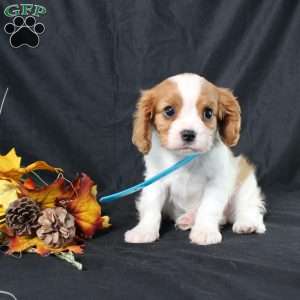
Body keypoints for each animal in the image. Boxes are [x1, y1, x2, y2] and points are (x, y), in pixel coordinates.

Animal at [125, 74, 266, 245]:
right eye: (169, 111)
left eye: (208, 113)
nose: (188, 134)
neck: (184, 158)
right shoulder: (155, 180)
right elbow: (151, 206)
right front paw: (144, 230)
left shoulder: (217, 181)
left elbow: (209, 207)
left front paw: (205, 231)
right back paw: (188, 219)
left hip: (244, 180)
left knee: (247, 207)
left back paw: (247, 223)